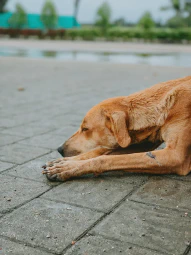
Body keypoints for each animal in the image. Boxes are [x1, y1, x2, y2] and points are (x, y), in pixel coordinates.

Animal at [42, 75, 191, 181]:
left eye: (85, 129)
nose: (59, 149)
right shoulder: (144, 142)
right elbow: (99, 152)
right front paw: (63, 162)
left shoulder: (175, 156)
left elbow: (106, 158)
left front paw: (67, 168)